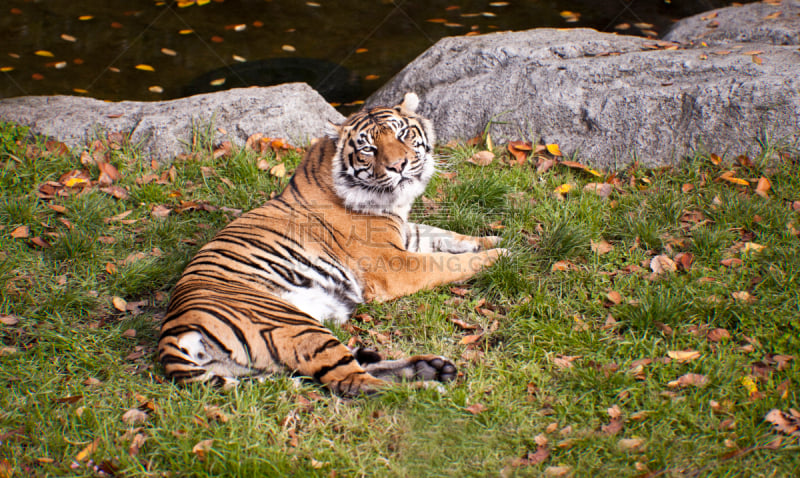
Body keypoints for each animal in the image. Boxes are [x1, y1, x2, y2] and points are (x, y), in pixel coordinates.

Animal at [158, 92, 506, 396]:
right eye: (369, 148)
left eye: (402, 134)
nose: (399, 166)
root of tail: (172, 334)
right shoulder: (393, 265)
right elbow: (444, 262)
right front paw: (501, 256)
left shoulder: (404, 234)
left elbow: (445, 236)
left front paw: (494, 239)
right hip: (293, 325)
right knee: (352, 382)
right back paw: (425, 388)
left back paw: (432, 368)